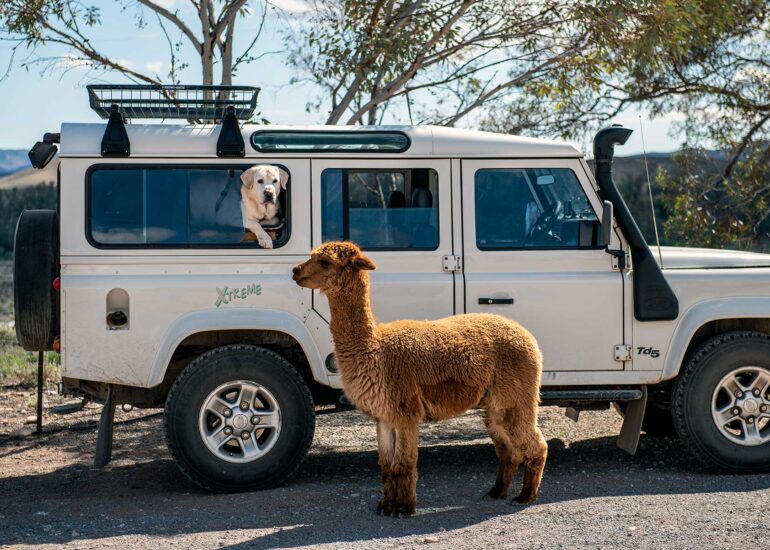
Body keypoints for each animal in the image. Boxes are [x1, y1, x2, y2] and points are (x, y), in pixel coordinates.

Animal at [292, 241, 547, 517]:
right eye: (311, 256)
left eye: (325, 261)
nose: (295, 271)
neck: (375, 349)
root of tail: (527, 336)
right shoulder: (384, 415)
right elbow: (386, 466)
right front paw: (385, 505)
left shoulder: (405, 411)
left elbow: (404, 464)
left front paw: (403, 508)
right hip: (496, 403)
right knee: (508, 450)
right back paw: (496, 492)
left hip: (515, 394)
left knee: (536, 444)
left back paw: (525, 496)